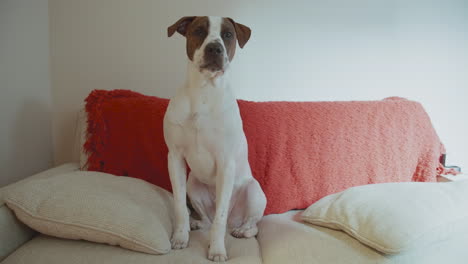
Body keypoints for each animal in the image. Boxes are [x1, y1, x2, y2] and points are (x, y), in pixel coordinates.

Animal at [165, 16, 266, 262]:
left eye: (228, 34)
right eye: (199, 31)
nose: (214, 48)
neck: (204, 91)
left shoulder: (226, 163)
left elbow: (220, 220)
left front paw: (217, 250)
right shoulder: (175, 158)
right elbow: (180, 206)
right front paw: (180, 237)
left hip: (254, 192)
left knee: (249, 224)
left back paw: (242, 230)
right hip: (193, 184)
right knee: (207, 219)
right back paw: (196, 223)